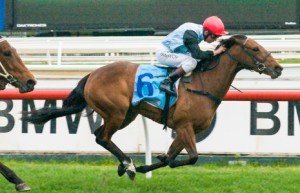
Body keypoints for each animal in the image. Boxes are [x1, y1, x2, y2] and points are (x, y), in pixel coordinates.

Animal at [23, 34, 282, 181]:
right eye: (256, 49)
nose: (278, 68)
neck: (203, 83)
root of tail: (93, 74)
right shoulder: (185, 126)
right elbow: (192, 157)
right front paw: (138, 165)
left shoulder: (187, 130)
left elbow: (170, 158)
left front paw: (147, 164)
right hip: (116, 112)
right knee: (102, 137)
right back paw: (127, 164)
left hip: (127, 114)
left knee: (100, 135)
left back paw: (126, 165)